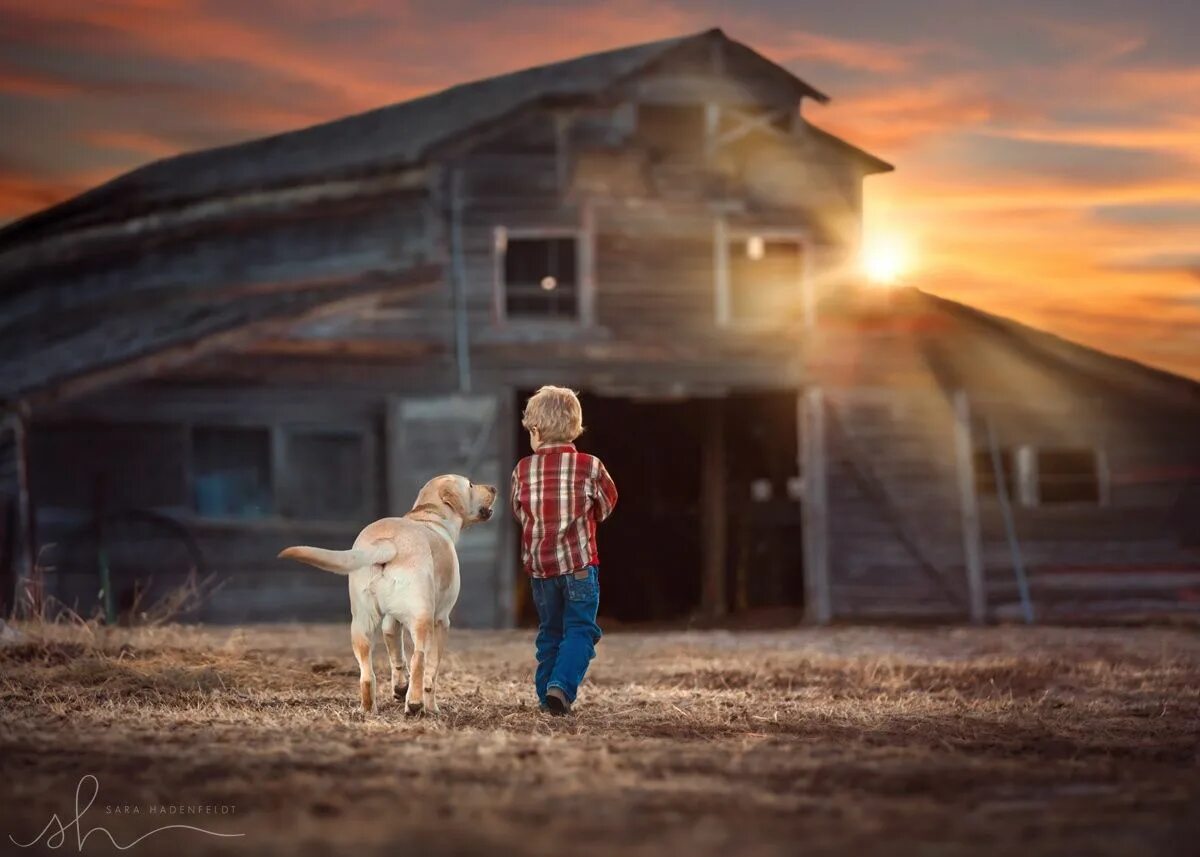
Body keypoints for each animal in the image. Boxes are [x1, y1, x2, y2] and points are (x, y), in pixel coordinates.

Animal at [278, 472, 494, 715]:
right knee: (419, 658)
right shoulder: (442, 620)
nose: (494, 488)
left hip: (361, 623)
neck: (428, 517)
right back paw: (415, 704)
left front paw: (400, 688)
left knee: (367, 674)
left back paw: (368, 708)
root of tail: (387, 544)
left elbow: (396, 655)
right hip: (422, 619)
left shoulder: (390, 621)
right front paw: (432, 707)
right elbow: (431, 672)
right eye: (470, 485)